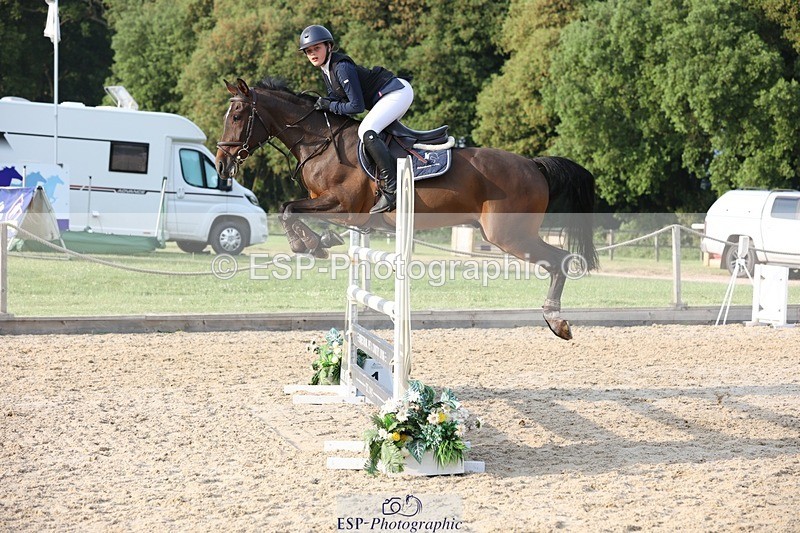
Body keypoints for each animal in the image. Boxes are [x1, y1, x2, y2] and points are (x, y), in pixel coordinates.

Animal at [215, 77, 598, 340]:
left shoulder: (342, 205)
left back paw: (556, 321)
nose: (221, 164)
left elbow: (288, 209)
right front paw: (320, 242)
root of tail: (533, 164)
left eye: (238, 115)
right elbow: (293, 210)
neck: (320, 142)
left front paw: (308, 245)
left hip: (509, 235)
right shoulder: (331, 206)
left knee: (560, 259)